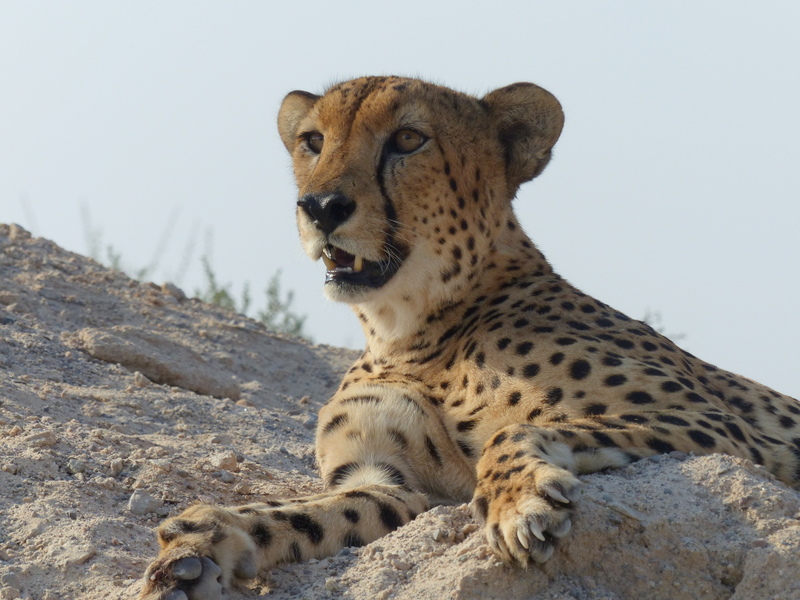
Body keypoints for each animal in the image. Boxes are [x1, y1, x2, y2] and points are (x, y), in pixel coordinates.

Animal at [138, 76, 800, 600]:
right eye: (313, 141)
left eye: (408, 139)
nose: (321, 206)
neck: (408, 331)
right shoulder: (390, 484)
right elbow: (312, 514)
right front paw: (202, 542)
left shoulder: (723, 427)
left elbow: (509, 431)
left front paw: (517, 503)